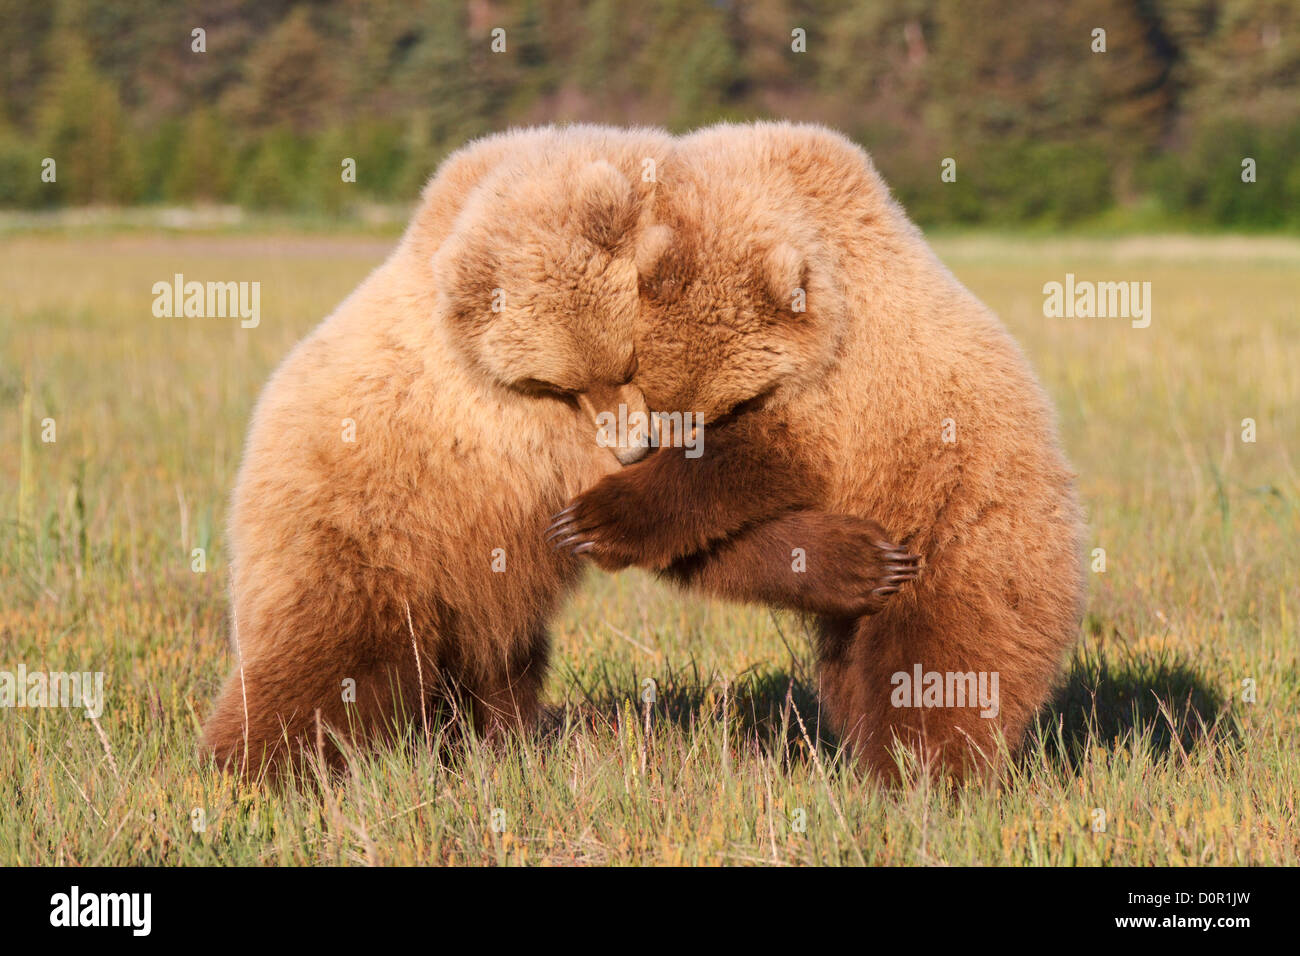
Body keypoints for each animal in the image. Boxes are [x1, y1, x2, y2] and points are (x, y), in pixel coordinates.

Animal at [548, 119, 1086, 780]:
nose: (651, 450)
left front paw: (598, 515)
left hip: (965, 532)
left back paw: (914, 773)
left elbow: (770, 458)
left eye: (724, 408)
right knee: (849, 667)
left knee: (936, 667)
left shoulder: (846, 387)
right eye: (662, 399)